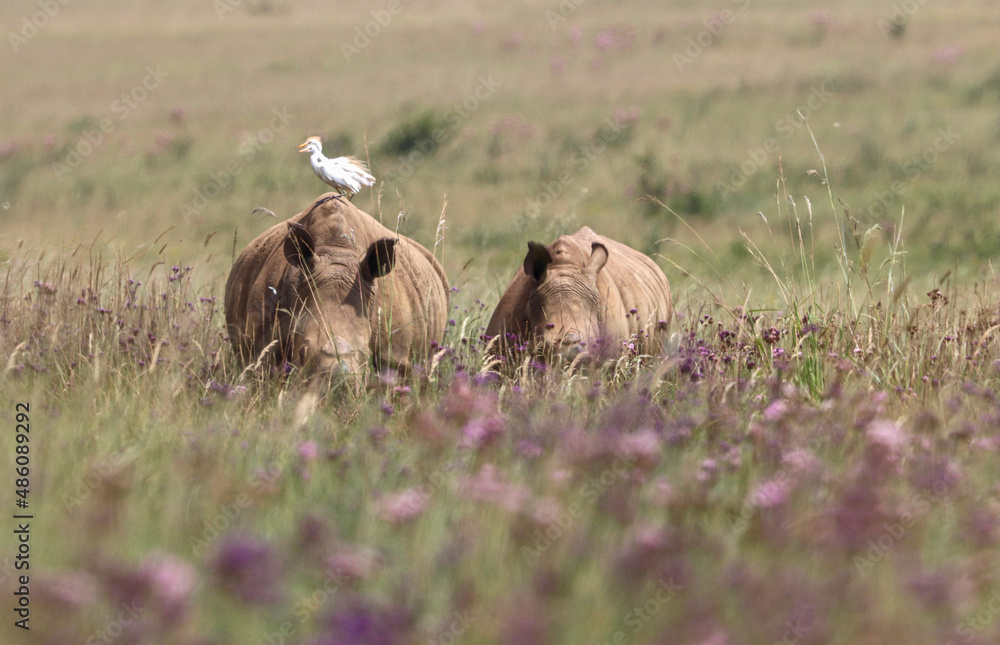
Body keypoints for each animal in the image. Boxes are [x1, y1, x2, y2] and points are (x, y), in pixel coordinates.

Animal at [224, 193, 449, 376]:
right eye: (302, 352)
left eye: (366, 355)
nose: (339, 381)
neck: (337, 252)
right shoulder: (261, 348)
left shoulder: (396, 355)